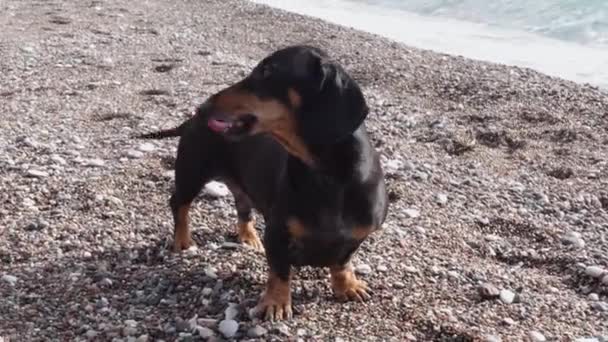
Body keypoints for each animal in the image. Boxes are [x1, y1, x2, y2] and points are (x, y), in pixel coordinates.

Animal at [138, 45, 388, 320]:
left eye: (267, 71)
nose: (203, 108)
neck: (330, 178)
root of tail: (189, 121)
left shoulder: (356, 238)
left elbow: (342, 262)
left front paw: (347, 285)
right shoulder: (277, 234)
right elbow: (279, 271)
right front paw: (276, 302)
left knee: (242, 208)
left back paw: (248, 237)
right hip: (192, 172)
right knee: (179, 204)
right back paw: (183, 240)